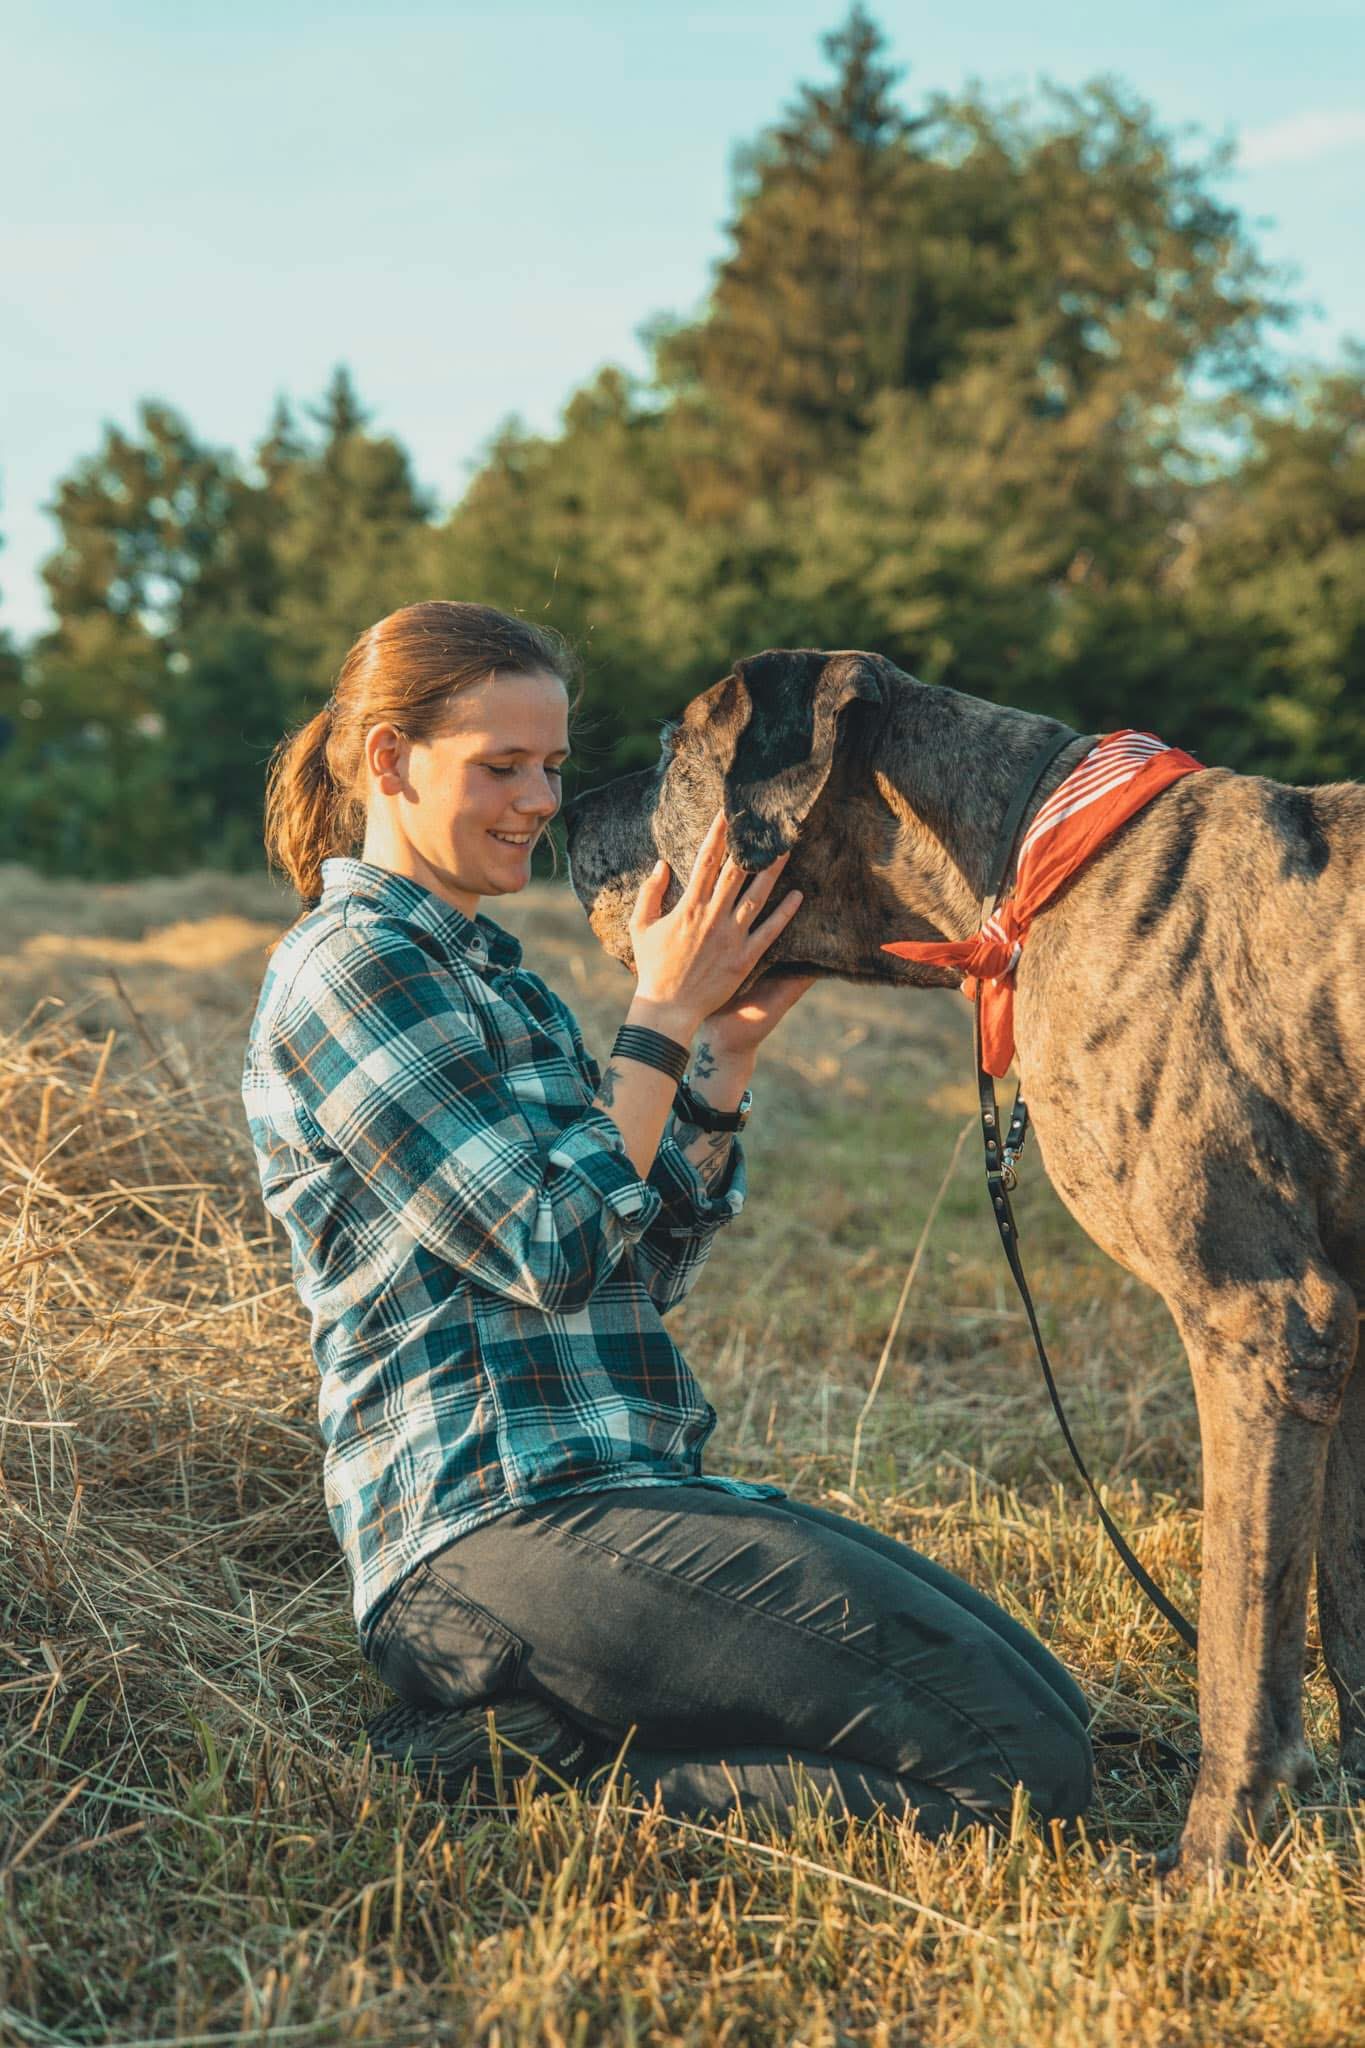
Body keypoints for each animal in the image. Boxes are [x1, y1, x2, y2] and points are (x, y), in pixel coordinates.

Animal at [561, 646, 1365, 1879]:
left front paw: (1208, 1862)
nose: (558, 812)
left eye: (665, 750)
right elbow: (1346, 1601)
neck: (1030, 866)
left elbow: (1243, 1623)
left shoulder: (1263, 1322)